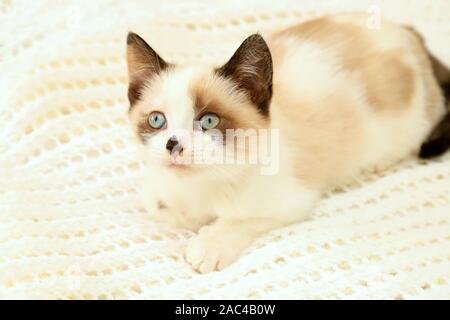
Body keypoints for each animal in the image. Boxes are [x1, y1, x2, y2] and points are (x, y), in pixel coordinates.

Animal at [125, 12, 450, 272]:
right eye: (157, 120)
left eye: (208, 121)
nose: (173, 145)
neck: (201, 186)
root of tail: (406, 31)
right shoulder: (159, 195)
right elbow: (162, 206)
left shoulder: (291, 202)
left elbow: (239, 220)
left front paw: (208, 246)